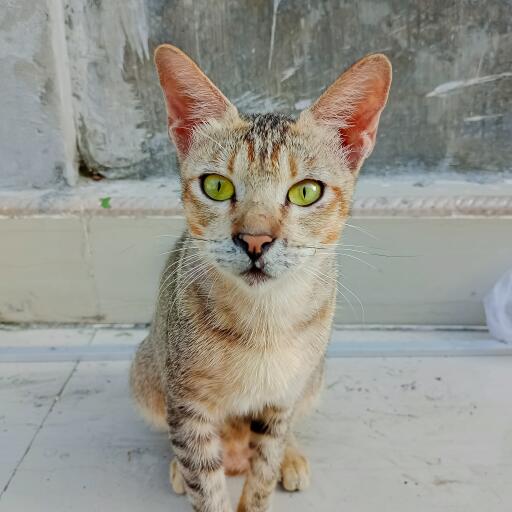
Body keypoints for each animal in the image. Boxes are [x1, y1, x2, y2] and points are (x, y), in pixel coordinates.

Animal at [130, 45, 390, 512]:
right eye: (216, 186)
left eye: (306, 191)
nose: (255, 240)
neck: (264, 319)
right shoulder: (187, 403)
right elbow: (206, 487)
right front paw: (199, 480)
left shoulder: (281, 400)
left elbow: (263, 472)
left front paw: (271, 471)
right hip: (147, 373)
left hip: (312, 379)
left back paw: (292, 455)